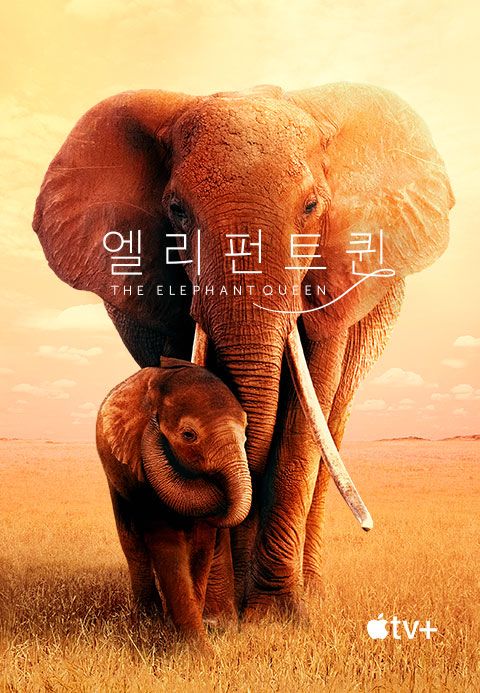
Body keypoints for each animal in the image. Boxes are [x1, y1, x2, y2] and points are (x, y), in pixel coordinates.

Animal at [96, 356, 251, 644]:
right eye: (189, 435)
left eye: (245, 435)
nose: (154, 424)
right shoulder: (139, 466)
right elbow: (165, 540)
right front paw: (192, 646)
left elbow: (201, 545)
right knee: (132, 543)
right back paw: (147, 619)